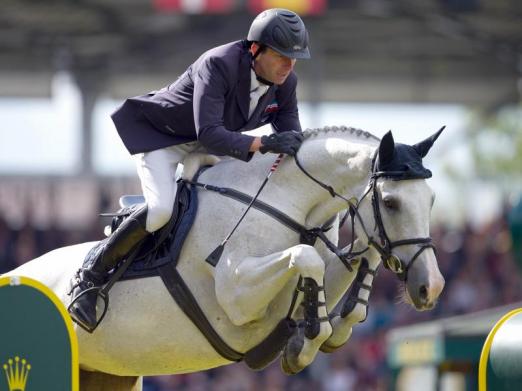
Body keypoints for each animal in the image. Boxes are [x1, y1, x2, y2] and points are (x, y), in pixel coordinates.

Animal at [3, 127, 442, 390]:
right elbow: (306, 259)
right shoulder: (236, 296)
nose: (432, 287)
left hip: (106, 374)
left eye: (432, 200)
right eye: (391, 201)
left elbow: (356, 256)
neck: (286, 203)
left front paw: (334, 328)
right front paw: (306, 343)